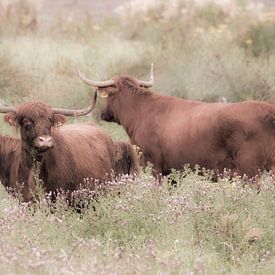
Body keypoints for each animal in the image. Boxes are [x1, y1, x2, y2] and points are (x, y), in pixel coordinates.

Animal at [77, 65, 275, 180]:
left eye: (109, 97)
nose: (103, 114)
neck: (142, 110)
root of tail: (268, 110)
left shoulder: (151, 164)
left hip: (250, 169)